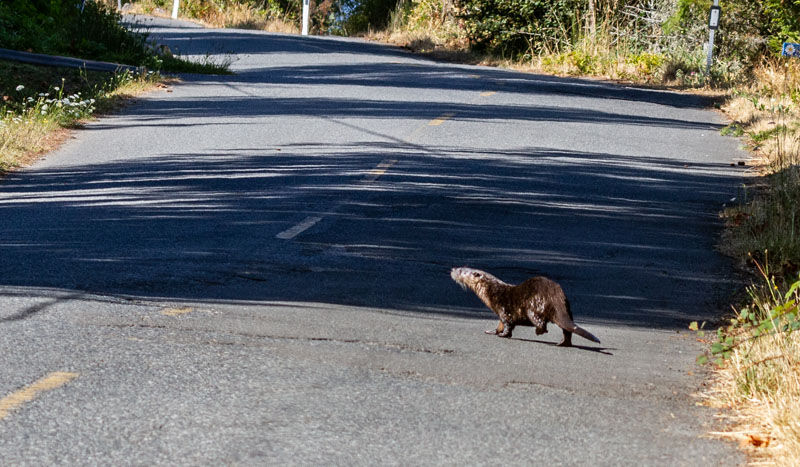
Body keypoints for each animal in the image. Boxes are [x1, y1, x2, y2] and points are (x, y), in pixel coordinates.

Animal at [450, 266, 600, 348]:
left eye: (462, 270)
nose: (453, 269)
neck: (492, 292)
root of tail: (555, 295)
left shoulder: (503, 309)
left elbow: (508, 325)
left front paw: (503, 335)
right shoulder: (500, 314)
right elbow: (499, 325)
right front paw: (492, 331)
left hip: (532, 308)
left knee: (542, 323)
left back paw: (539, 332)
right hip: (568, 309)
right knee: (567, 330)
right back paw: (563, 343)